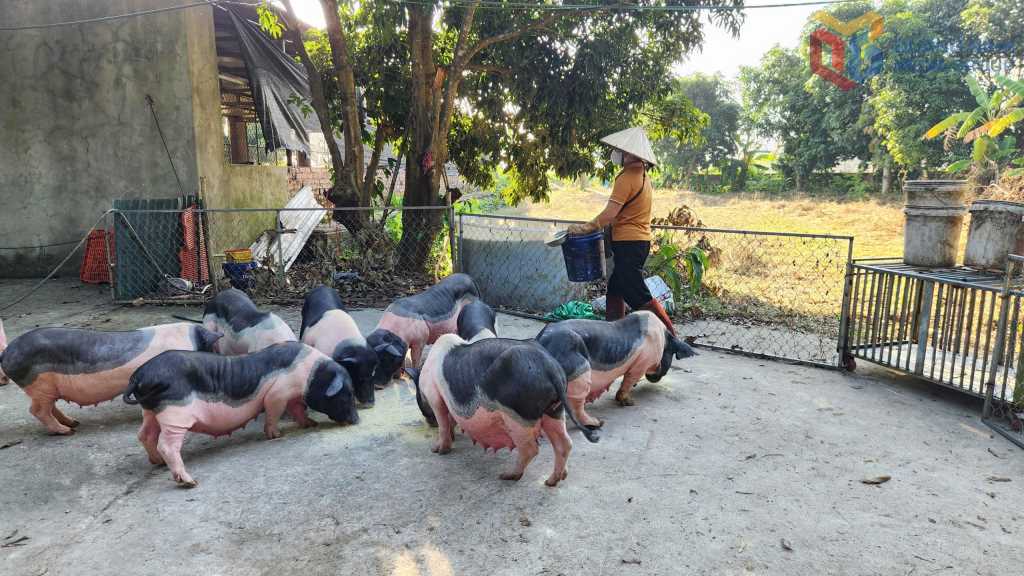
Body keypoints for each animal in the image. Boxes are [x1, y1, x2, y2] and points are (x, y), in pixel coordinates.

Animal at [0, 323, 222, 435]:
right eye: (212, 349)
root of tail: (6, 353)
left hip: (45, 390)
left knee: (49, 408)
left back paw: (74, 423)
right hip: (39, 385)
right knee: (37, 410)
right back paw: (67, 431)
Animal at [123, 342, 358, 488]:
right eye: (346, 393)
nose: (357, 420)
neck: (311, 373)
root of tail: (138, 376)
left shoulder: (291, 396)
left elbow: (298, 410)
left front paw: (310, 424)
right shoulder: (277, 393)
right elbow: (273, 412)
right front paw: (277, 435)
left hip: (151, 410)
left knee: (144, 434)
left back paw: (158, 463)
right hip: (174, 412)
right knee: (166, 444)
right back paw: (190, 482)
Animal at [408, 334, 598, 487]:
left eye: (419, 395)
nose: (428, 421)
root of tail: (551, 370)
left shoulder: (434, 396)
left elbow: (442, 421)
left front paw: (437, 450)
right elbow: (450, 420)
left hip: (518, 416)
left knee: (530, 449)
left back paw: (507, 476)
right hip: (555, 409)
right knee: (564, 443)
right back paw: (552, 481)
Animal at [536, 310, 696, 430]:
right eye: (671, 354)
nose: (656, 376)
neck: (664, 339)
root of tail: (543, 341)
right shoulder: (640, 364)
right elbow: (628, 380)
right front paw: (630, 403)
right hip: (580, 372)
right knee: (577, 404)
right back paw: (598, 423)